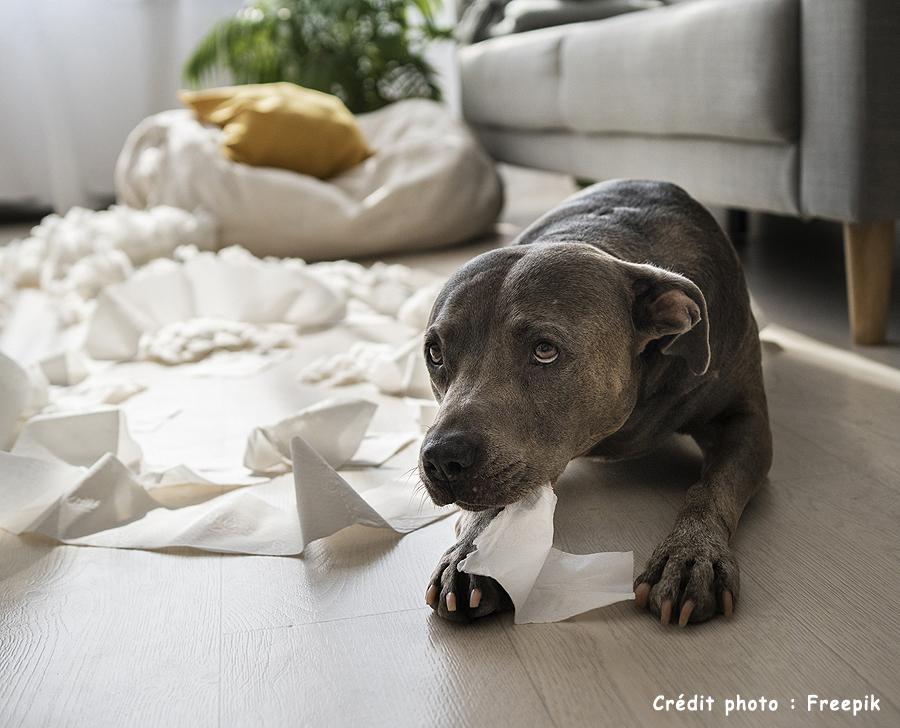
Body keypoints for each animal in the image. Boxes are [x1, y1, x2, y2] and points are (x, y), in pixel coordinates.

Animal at [418, 178, 768, 624]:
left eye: (544, 350)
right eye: (435, 353)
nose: (442, 458)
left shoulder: (744, 421)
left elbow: (711, 487)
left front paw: (691, 555)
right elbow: (495, 504)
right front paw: (472, 554)